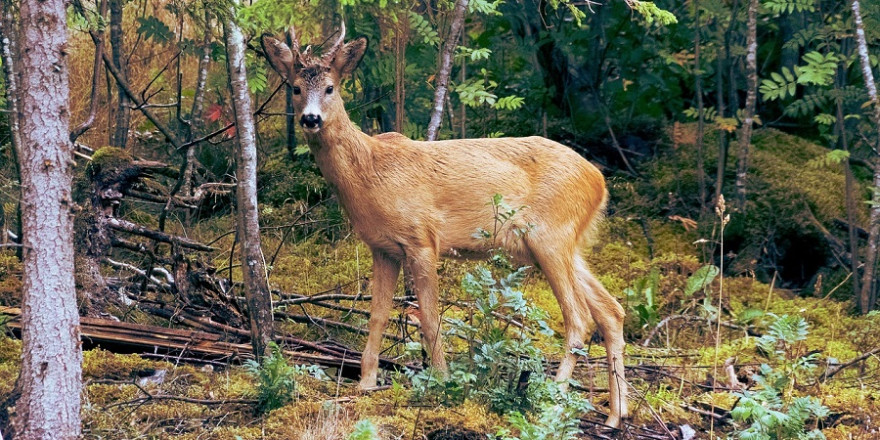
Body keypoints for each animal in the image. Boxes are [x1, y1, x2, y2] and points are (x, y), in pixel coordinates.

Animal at [258, 23, 628, 426]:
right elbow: (377, 316)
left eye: (330, 88)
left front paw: (442, 382)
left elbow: (430, 316)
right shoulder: (382, 248)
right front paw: (367, 383)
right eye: (295, 88)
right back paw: (615, 415)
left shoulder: (421, 238)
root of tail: (599, 181)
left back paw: (552, 401)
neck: (370, 174)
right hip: (565, 243)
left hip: (550, 236)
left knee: (579, 318)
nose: (310, 119)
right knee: (611, 310)